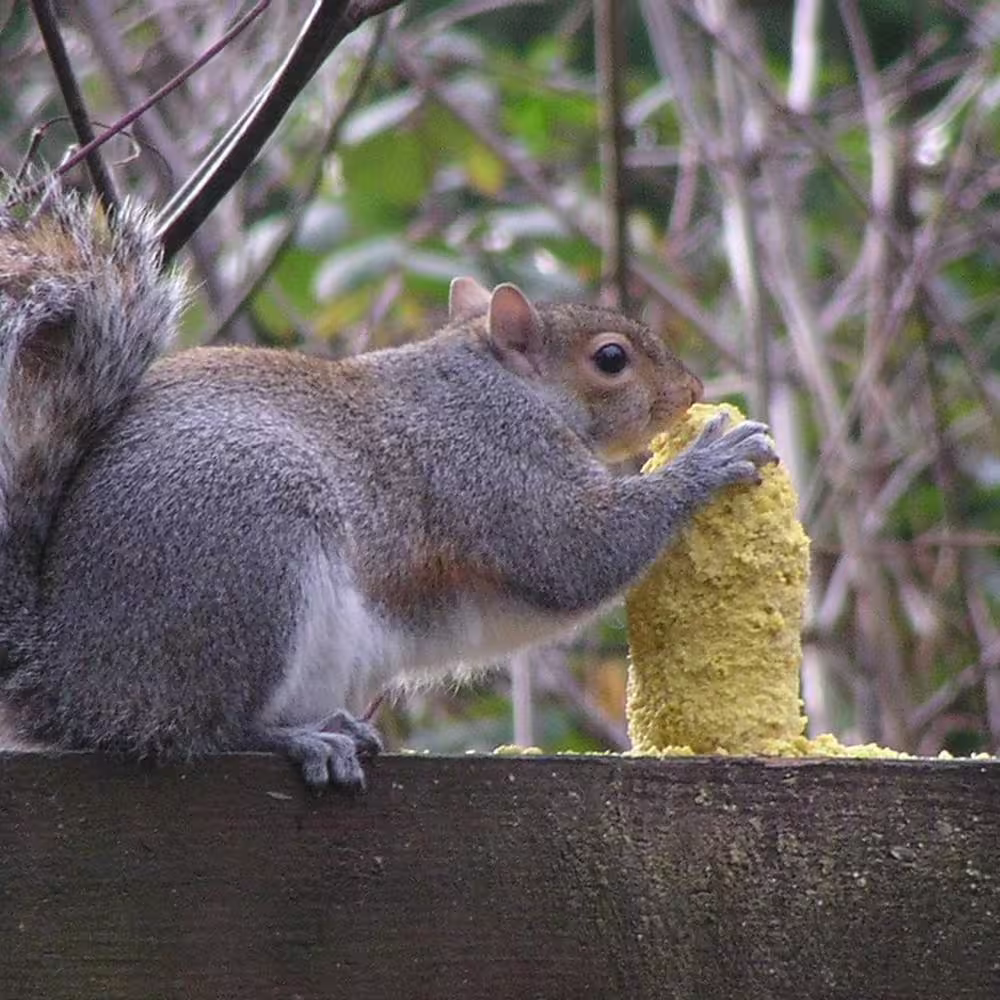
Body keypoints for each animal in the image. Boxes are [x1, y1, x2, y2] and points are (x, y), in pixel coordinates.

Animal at [0, 188, 778, 790]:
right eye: (611, 359)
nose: (693, 390)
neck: (498, 378)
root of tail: (78, 683)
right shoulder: (492, 461)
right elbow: (573, 551)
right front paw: (711, 458)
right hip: (249, 561)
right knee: (201, 730)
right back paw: (302, 739)